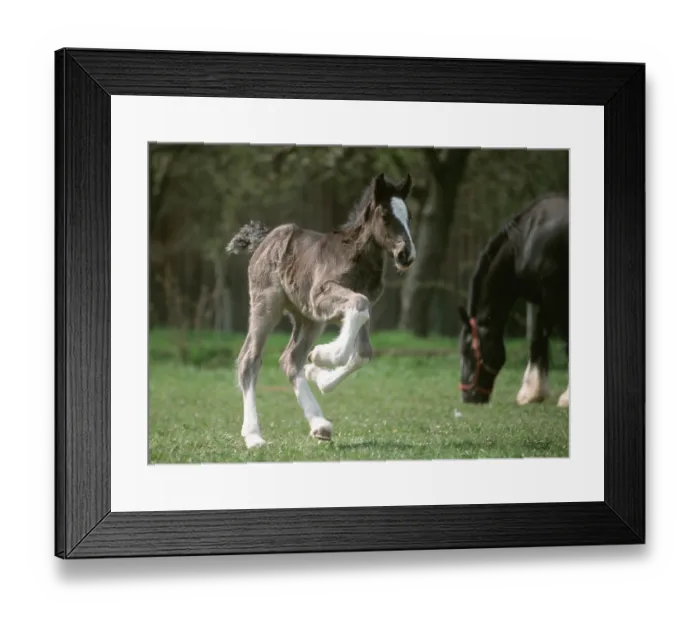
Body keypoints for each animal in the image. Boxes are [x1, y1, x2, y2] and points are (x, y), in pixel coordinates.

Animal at [226, 172, 416, 449]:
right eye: (385, 216)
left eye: (408, 216)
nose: (406, 255)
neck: (354, 256)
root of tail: (265, 239)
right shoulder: (322, 296)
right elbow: (358, 307)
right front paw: (322, 356)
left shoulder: (359, 306)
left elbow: (363, 351)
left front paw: (320, 373)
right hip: (267, 305)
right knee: (249, 359)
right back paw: (254, 435)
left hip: (308, 318)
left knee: (290, 360)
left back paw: (319, 424)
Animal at [457, 193, 569, 408]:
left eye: (467, 351)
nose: (467, 396)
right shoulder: (542, 299)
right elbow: (538, 338)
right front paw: (532, 393)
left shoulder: (555, 295)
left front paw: (566, 397)